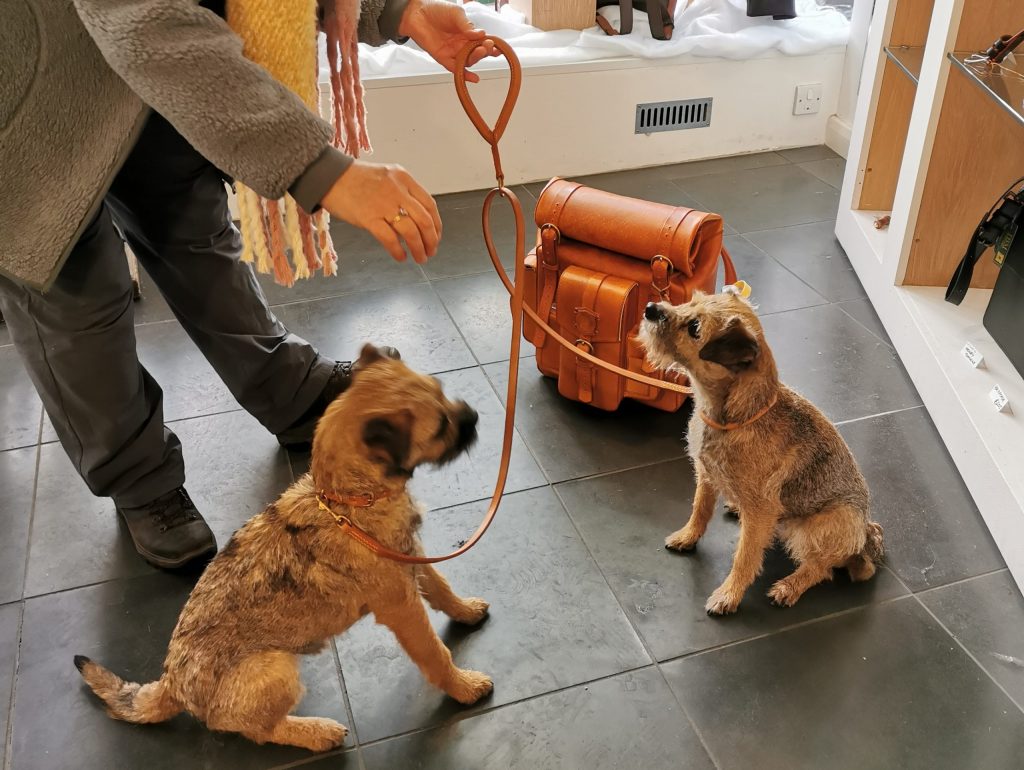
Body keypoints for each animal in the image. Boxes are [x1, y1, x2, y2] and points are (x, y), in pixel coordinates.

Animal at [74, 344, 493, 753]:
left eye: (442, 391)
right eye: (441, 426)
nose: (475, 415)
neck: (347, 500)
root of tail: (172, 683)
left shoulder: (410, 555)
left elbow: (440, 587)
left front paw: (465, 610)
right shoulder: (401, 607)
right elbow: (434, 652)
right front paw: (464, 687)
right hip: (274, 669)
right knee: (253, 729)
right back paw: (317, 732)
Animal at [638, 288, 880, 614]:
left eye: (695, 328)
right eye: (690, 300)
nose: (651, 308)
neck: (737, 417)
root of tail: (865, 538)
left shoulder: (761, 511)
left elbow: (746, 556)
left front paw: (729, 595)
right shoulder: (705, 474)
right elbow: (699, 509)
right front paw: (687, 536)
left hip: (822, 526)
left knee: (820, 567)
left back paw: (790, 586)